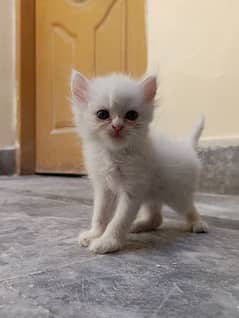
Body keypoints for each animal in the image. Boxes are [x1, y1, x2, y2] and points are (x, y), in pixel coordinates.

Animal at [70, 71, 207, 253]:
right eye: (102, 114)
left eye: (131, 115)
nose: (117, 126)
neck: (115, 153)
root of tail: (188, 147)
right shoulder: (104, 188)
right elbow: (100, 215)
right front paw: (95, 234)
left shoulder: (133, 190)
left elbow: (119, 220)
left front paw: (107, 242)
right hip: (152, 192)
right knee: (156, 218)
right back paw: (138, 226)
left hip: (176, 194)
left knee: (189, 208)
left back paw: (198, 224)